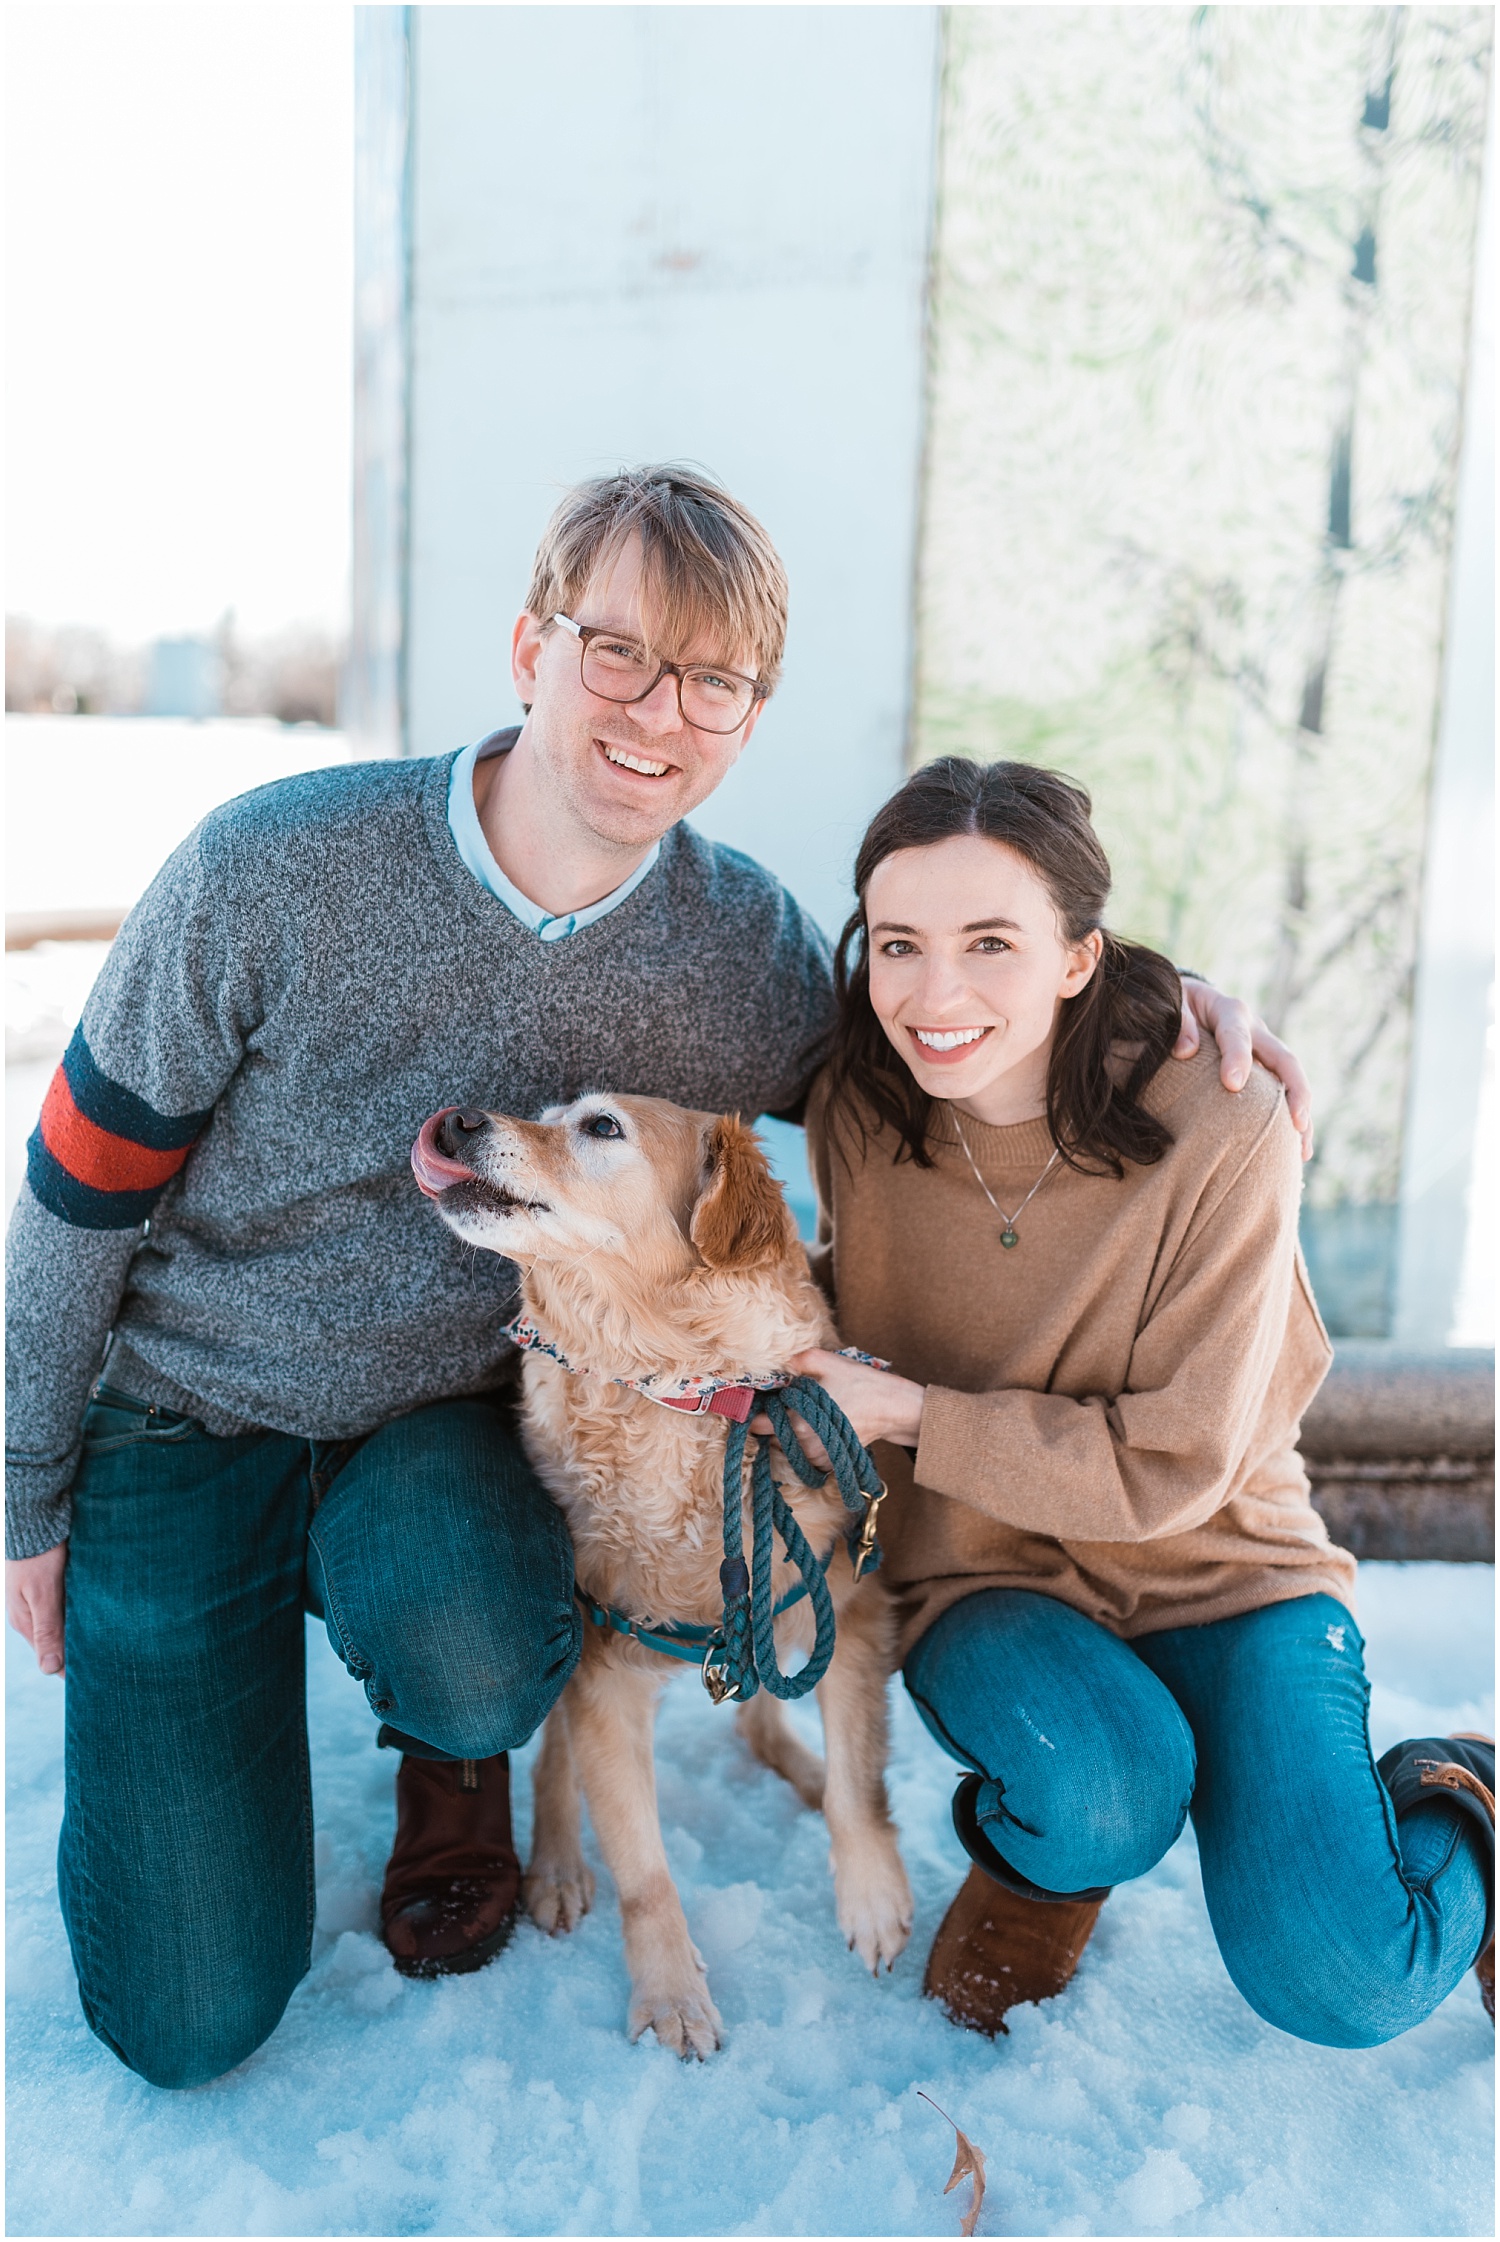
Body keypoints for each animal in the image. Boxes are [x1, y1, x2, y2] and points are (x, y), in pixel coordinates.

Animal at [410, 1094, 919, 2053]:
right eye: (547, 1115)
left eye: (601, 1127)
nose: (455, 1121)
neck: (688, 1391)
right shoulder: (603, 1664)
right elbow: (643, 1869)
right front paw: (671, 1996)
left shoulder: (847, 1603)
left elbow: (856, 1784)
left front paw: (872, 1898)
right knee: (556, 1759)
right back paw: (558, 1867)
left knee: (762, 1706)